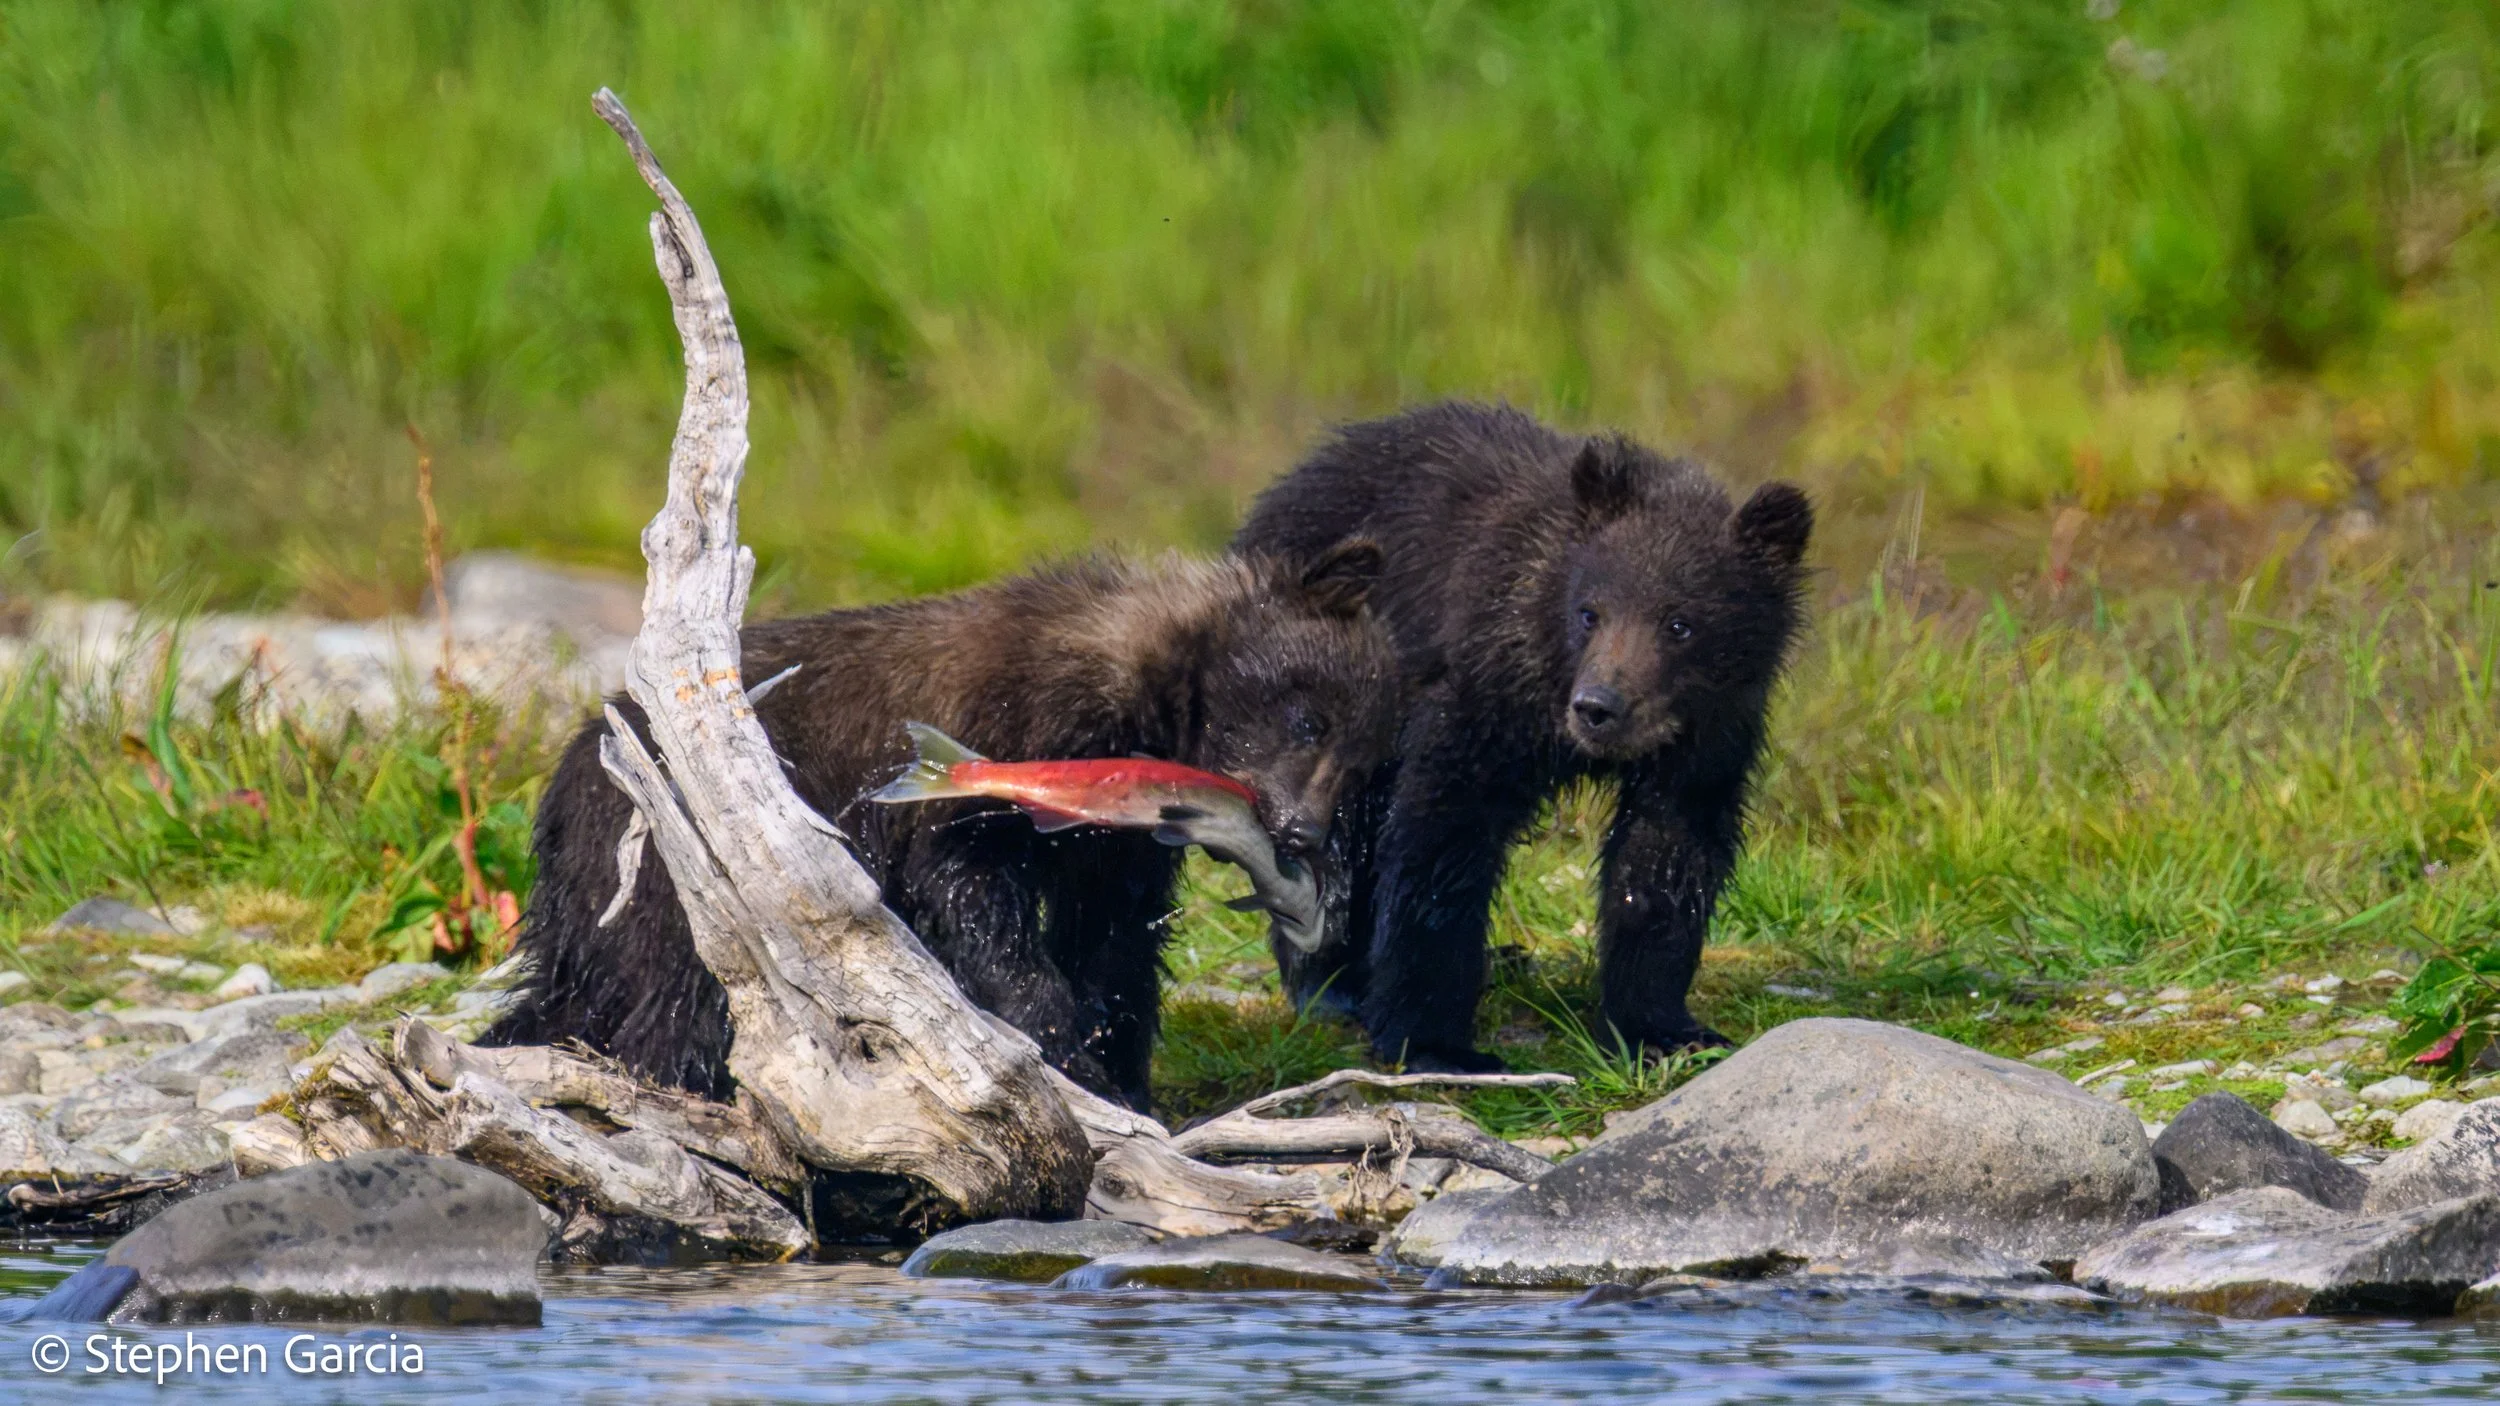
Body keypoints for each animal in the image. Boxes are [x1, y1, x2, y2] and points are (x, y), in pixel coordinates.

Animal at [482, 545, 1399, 1111]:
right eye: (1308, 719)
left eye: (1361, 765)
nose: (1302, 830)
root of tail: (565, 780)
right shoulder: (1015, 732)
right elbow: (967, 879)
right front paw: (1062, 1046)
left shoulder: (1115, 841)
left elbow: (1115, 938)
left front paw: (1120, 1069)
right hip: (678, 861)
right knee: (678, 987)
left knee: (574, 992)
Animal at [1232, 401, 1812, 1071]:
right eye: (1590, 612)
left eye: (1680, 624)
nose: (1599, 708)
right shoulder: (1483, 696)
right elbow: (1442, 837)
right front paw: (1434, 1038)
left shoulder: (1707, 737)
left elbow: (1665, 854)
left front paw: (1661, 1027)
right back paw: (1332, 982)